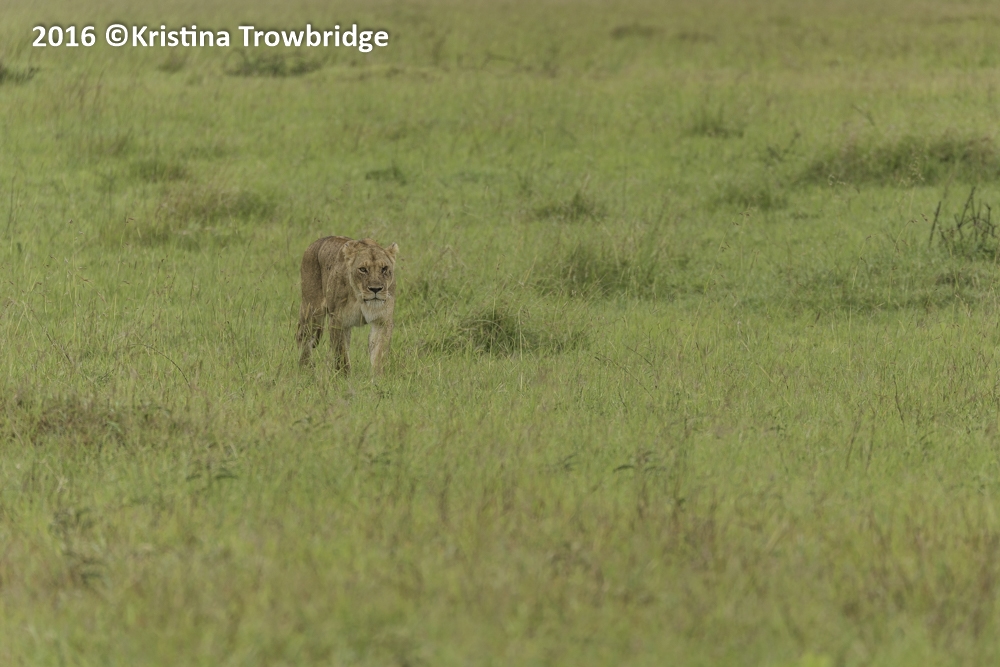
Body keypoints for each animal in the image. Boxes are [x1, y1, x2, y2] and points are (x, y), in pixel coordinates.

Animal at [296, 236, 398, 374]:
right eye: (363, 269)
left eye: (384, 268)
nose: (375, 289)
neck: (361, 299)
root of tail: (316, 242)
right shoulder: (338, 321)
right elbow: (341, 356)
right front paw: (344, 377)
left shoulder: (382, 322)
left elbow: (379, 355)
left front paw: (378, 377)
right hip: (312, 311)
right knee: (302, 336)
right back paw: (306, 369)